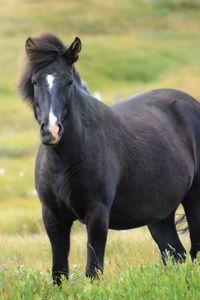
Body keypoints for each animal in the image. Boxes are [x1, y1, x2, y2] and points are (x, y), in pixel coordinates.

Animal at [19, 32, 200, 284]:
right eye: (35, 82)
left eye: (69, 82)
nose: (51, 131)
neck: (63, 161)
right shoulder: (53, 218)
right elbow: (59, 274)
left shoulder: (97, 216)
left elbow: (93, 271)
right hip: (161, 216)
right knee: (177, 256)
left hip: (194, 201)